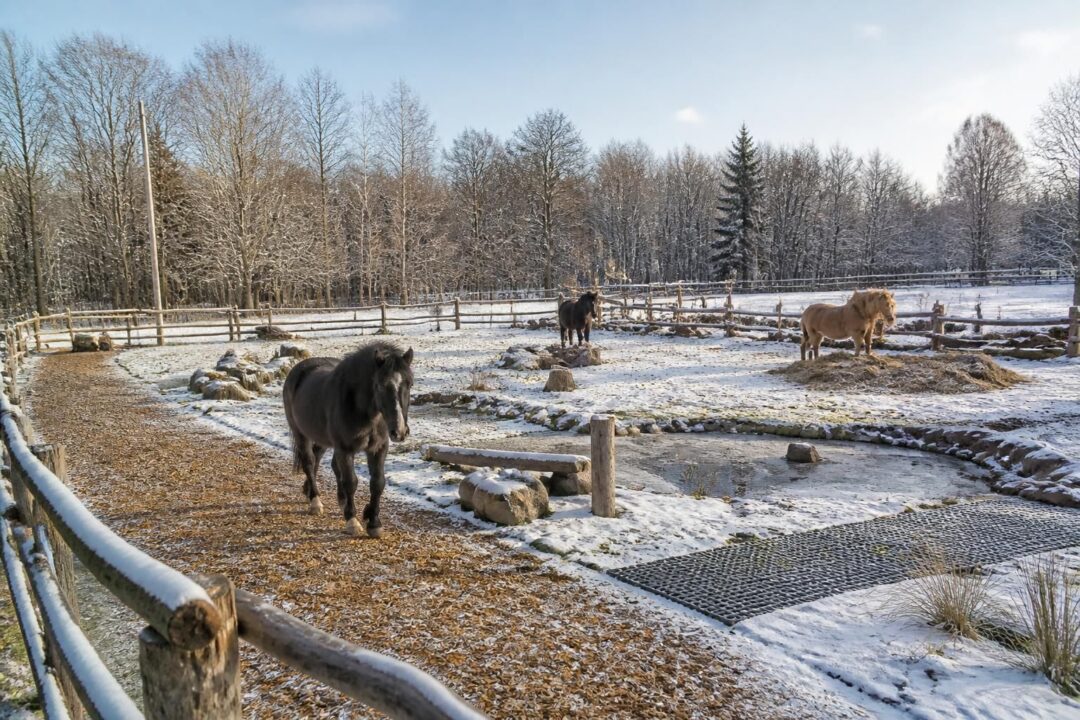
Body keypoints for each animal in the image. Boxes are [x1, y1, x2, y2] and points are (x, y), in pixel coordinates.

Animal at [282, 341, 414, 538]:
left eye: (410, 383)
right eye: (381, 385)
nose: (399, 431)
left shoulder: (378, 448)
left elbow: (378, 483)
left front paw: (373, 522)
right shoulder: (344, 449)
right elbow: (351, 481)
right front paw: (353, 521)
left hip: (323, 439)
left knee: (321, 460)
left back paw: (324, 495)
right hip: (301, 434)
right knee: (309, 463)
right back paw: (315, 501)